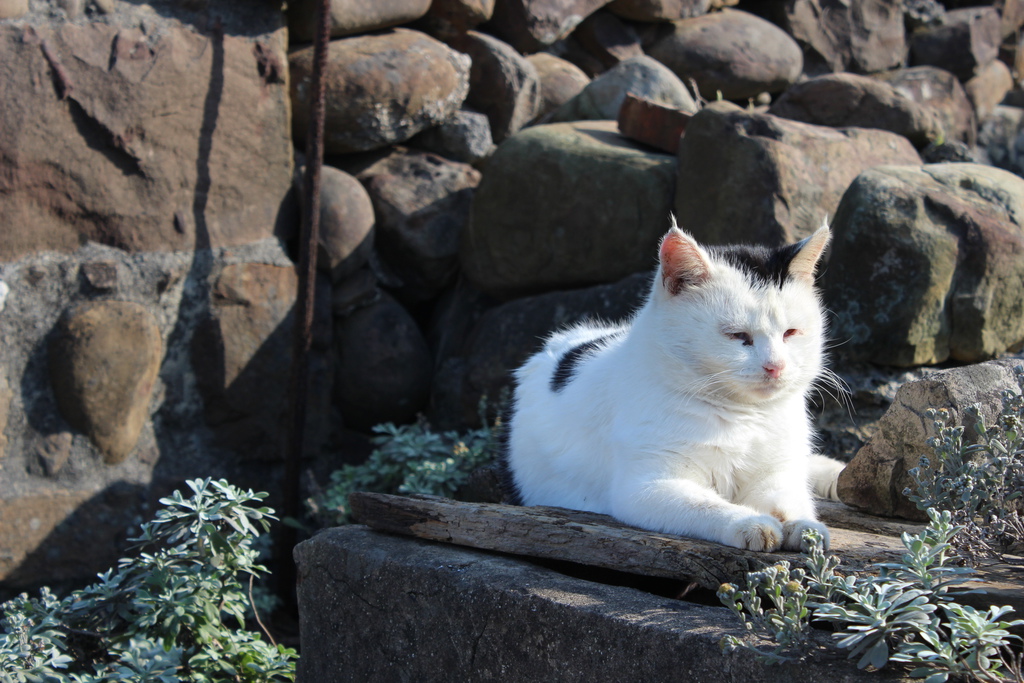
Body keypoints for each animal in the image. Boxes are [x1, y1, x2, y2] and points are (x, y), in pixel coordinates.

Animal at [499, 222, 843, 552]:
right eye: (737, 336)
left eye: (790, 333)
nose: (775, 366)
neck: (743, 417)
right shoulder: (647, 487)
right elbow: (706, 505)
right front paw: (751, 523)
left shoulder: (778, 475)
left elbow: (789, 503)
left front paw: (804, 528)